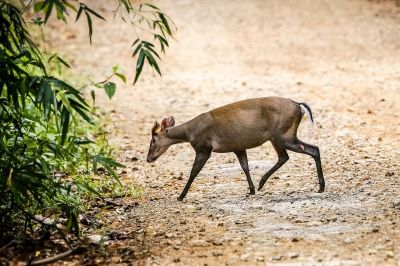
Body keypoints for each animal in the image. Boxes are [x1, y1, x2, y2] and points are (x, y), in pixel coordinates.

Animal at [147, 96, 324, 201]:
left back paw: (321, 187)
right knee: (285, 156)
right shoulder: (238, 146)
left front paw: (180, 196)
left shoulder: (204, 148)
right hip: (278, 137)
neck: (190, 132)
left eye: (153, 138)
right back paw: (261, 184)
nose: (149, 158)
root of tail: (299, 106)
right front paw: (251, 190)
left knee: (313, 149)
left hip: (284, 135)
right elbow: (245, 167)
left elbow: (193, 172)